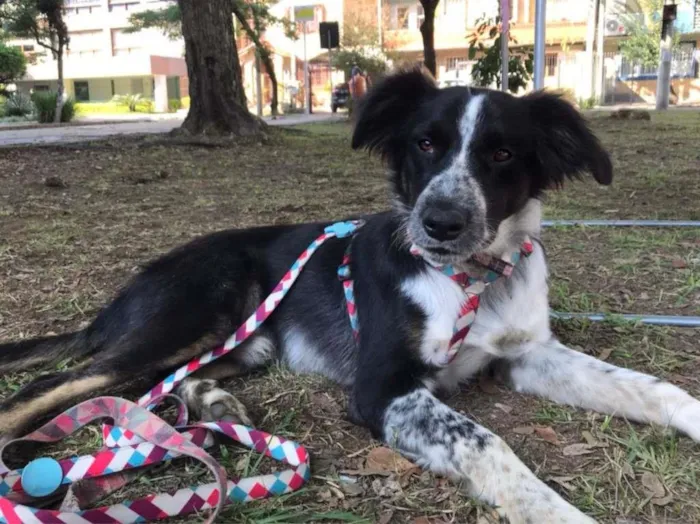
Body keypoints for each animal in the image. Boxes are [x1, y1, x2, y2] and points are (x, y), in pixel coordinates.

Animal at [1, 70, 700, 524]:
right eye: (425, 143)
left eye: (502, 153)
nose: (439, 223)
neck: (472, 279)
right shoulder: (383, 386)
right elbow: (487, 443)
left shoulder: (528, 354)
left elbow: (650, 387)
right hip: (200, 308)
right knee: (56, 386)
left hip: (245, 342)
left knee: (159, 384)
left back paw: (213, 405)